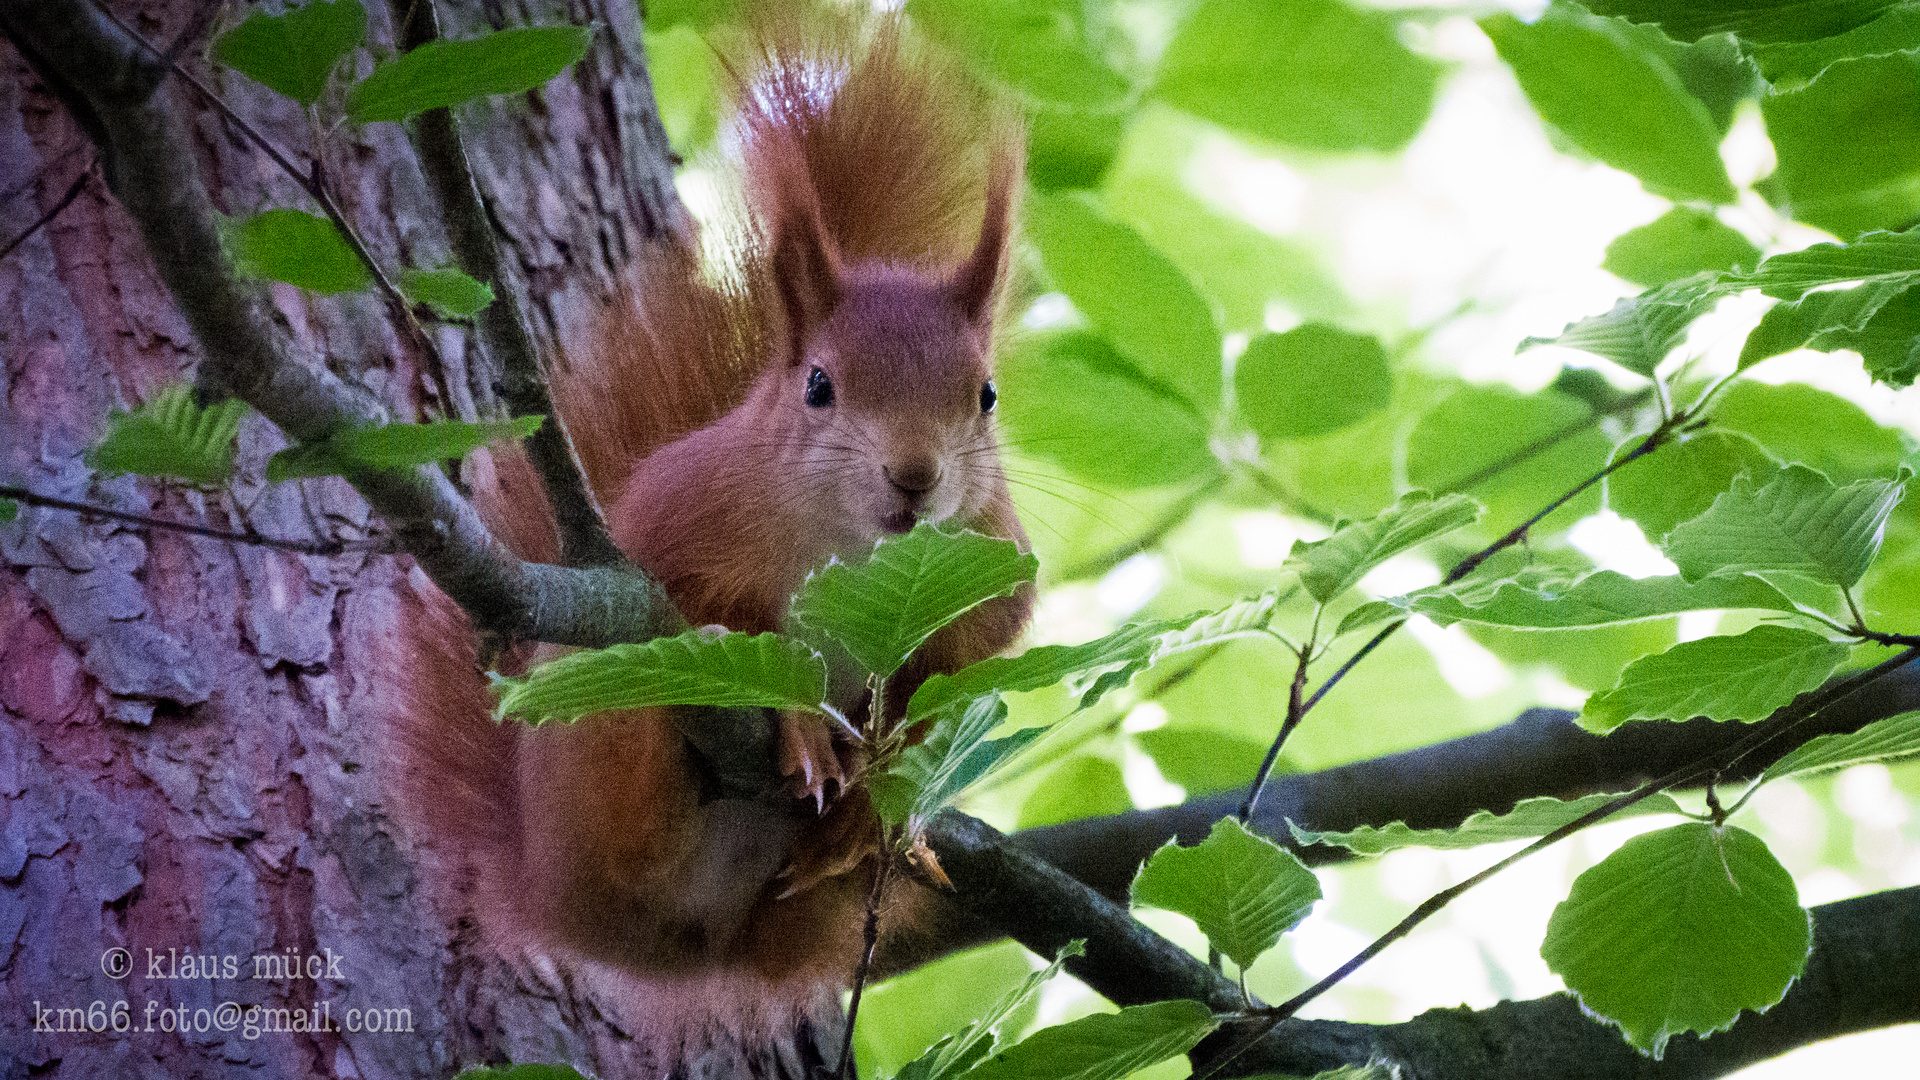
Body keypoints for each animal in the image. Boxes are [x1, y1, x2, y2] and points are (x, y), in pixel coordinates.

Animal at [389, 10, 1036, 1068]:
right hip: (595, 758)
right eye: (818, 385)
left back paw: (854, 839)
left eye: (985, 395)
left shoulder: (987, 573)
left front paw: (879, 780)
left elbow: (952, 675)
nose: (915, 477)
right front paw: (801, 722)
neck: (864, 562)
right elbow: (714, 612)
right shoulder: (681, 529)